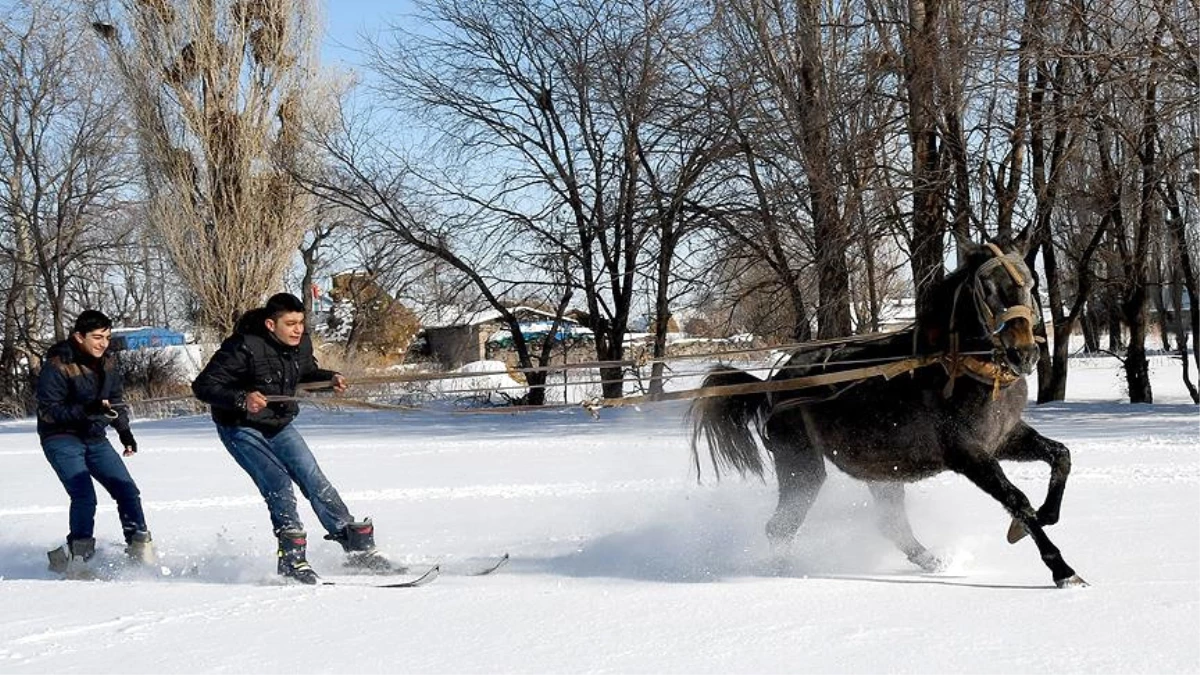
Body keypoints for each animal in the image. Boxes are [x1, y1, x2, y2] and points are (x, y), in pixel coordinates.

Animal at [686, 239, 1089, 586]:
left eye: (1030, 282)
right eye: (987, 288)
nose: (1025, 353)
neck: (956, 368)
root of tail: (773, 385)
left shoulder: (1005, 438)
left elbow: (1061, 456)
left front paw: (1045, 516)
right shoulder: (969, 455)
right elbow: (1016, 500)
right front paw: (1063, 569)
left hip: (881, 471)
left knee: (891, 526)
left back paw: (935, 561)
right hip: (801, 466)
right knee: (780, 527)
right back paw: (783, 570)